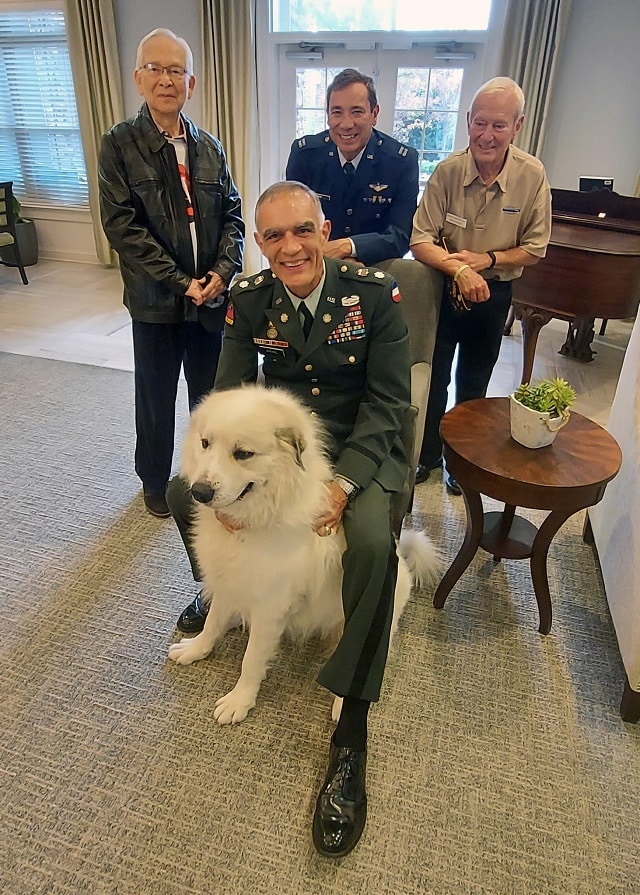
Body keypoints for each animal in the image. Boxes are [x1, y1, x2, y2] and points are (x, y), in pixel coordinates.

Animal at [168, 388, 442, 724]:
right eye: (206, 443)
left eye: (243, 454)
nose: (200, 491)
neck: (258, 517)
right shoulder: (229, 578)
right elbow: (213, 622)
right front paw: (197, 649)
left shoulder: (270, 606)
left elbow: (251, 659)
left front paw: (239, 701)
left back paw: (343, 704)